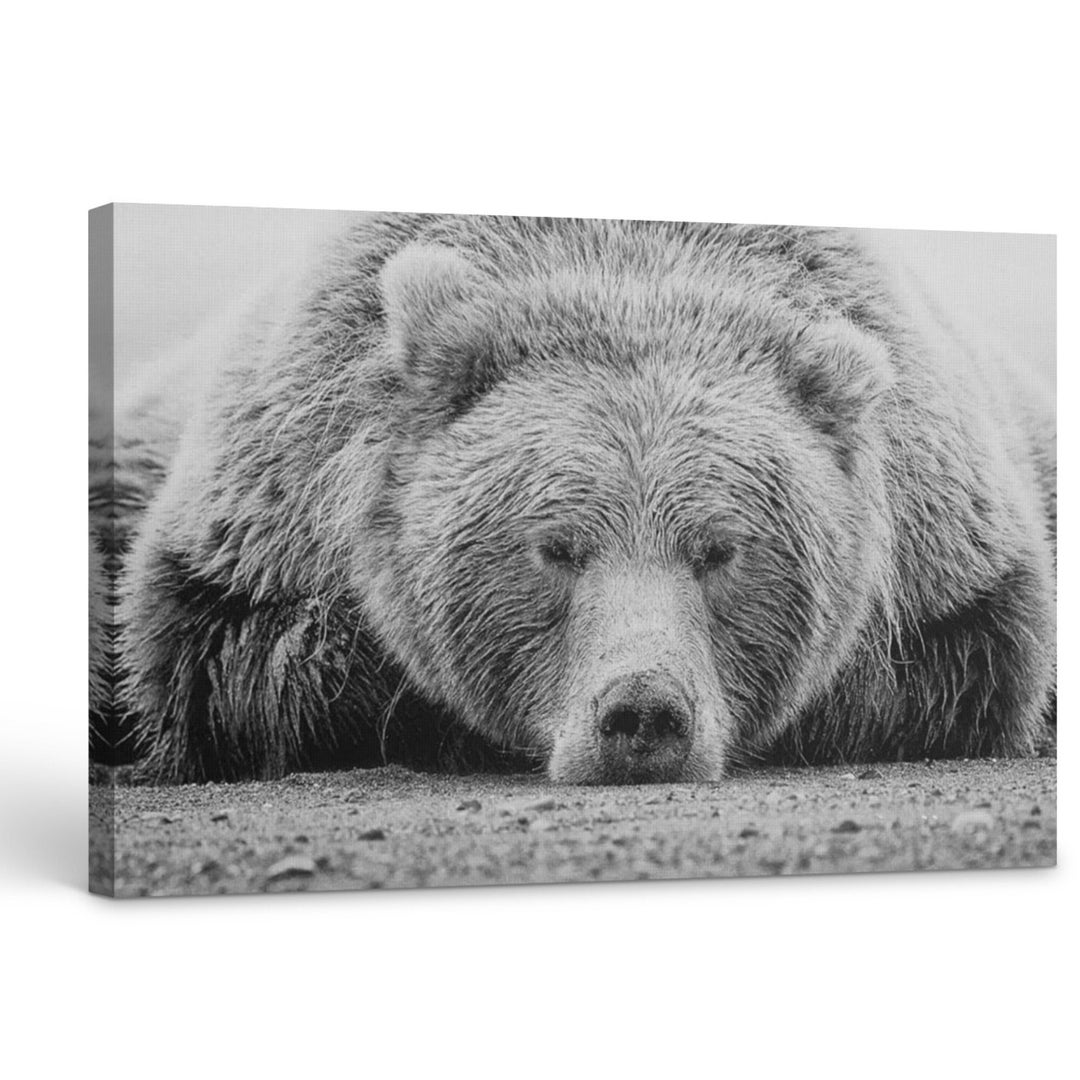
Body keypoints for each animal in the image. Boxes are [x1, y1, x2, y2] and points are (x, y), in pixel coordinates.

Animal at [116, 213, 1056, 785]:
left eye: (718, 549)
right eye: (556, 546)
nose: (643, 713)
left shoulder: (949, 554)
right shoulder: (268, 510)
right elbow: (249, 668)